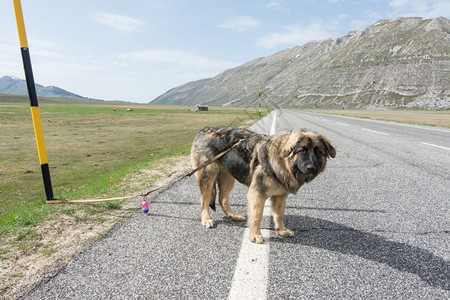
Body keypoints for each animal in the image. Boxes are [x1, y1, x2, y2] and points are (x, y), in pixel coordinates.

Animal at [190, 126, 334, 244]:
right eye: (302, 150)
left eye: (318, 152)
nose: (311, 168)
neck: (282, 161)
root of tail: (203, 130)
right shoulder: (258, 194)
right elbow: (256, 216)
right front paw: (255, 235)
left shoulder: (280, 196)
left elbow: (279, 214)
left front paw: (281, 230)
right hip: (208, 175)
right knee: (204, 200)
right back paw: (206, 219)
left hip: (228, 177)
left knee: (223, 199)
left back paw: (233, 216)